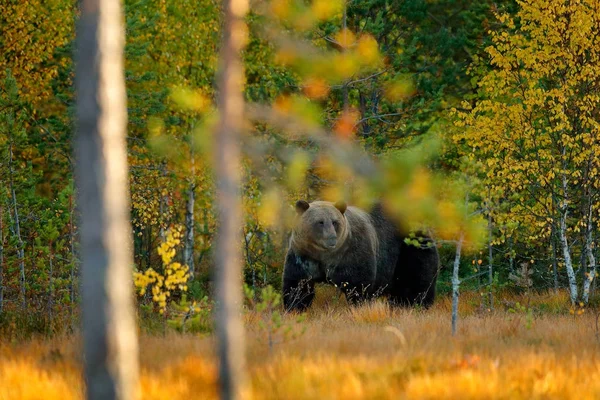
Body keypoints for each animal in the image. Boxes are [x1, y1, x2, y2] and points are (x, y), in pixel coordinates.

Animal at [282, 202, 440, 310]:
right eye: (320, 222)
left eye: (335, 222)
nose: (331, 239)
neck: (324, 256)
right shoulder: (302, 255)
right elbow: (297, 284)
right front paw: (294, 306)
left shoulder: (351, 253)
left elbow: (358, 285)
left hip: (410, 248)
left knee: (416, 280)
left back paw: (416, 305)